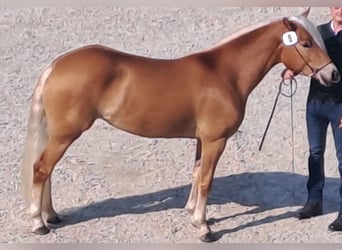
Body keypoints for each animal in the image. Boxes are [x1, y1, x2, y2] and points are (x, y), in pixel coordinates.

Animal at [21, 10, 340, 242]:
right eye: (306, 43)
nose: (333, 75)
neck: (226, 74)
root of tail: (56, 65)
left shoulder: (202, 140)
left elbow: (197, 173)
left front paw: (193, 215)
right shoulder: (215, 140)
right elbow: (207, 180)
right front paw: (204, 228)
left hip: (59, 134)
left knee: (47, 172)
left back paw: (51, 215)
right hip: (65, 134)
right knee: (42, 169)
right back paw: (39, 223)